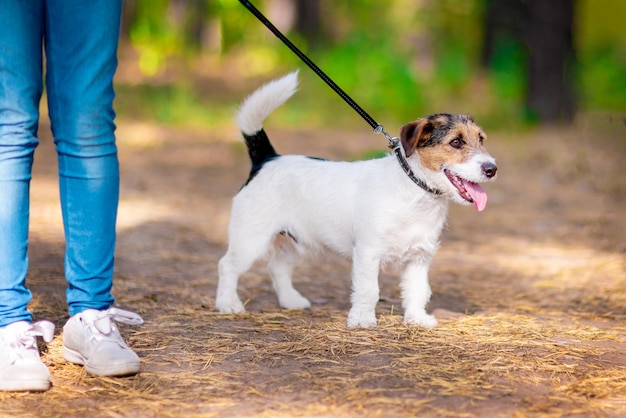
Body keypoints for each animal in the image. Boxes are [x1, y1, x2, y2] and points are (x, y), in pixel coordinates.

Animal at [216, 71, 498, 326]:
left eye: (481, 139)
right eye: (456, 142)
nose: (492, 169)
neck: (414, 193)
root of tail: (267, 158)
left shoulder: (419, 257)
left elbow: (417, 291)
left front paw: (417, 319)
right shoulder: (367, 252)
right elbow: (368, 290)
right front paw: (362, 319)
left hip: (293, 241)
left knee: (277, 268)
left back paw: (290, 301)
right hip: (250, 239)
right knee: (227, 265)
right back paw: (228, 304)